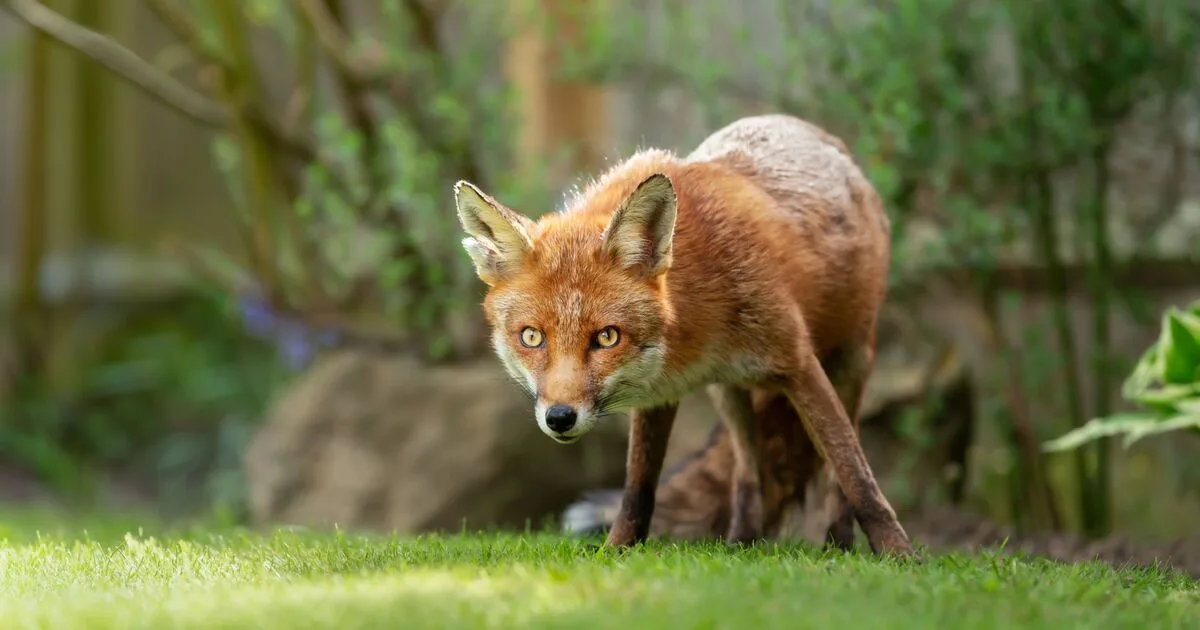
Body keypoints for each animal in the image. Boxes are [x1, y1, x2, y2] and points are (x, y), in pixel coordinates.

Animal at [451, 113, 913, 556]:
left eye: (607, 337)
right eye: (531, 337)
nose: (560, 418)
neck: (691, 339)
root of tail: (814, 132)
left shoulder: (798, 363)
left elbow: (856, 474)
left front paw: (901, 555)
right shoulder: (658, 396)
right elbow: (638, 488)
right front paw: (615, 551)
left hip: (852, 361)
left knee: (832, 477)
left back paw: (840, 545)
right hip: (730, 394)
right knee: (748, 474)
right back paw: (740, 544)